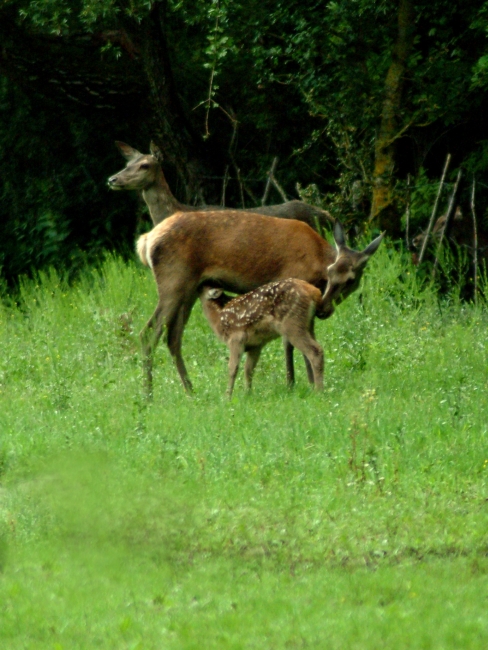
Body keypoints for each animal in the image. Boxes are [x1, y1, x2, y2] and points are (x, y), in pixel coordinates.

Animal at [135, 213, 384, 394]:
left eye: (350, 280)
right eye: (331, 272)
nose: (325, 309)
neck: (317, 262)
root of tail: (146, 241)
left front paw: (309, 382)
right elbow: (289, 343)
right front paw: (294, 383)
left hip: (189, 291)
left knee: (172, 338)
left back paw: (190, 390)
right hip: (174, 283)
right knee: (149, 333)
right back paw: (148, 394)